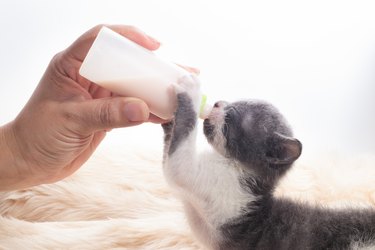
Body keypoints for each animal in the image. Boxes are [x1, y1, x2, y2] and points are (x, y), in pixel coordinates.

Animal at [162, 75, 375, 249]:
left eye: (232, 115)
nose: (216, 103)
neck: (235, 167)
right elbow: (170, 148)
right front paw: (167, 119)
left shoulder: (212, 187)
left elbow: (180, 154)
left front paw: (190, 90)